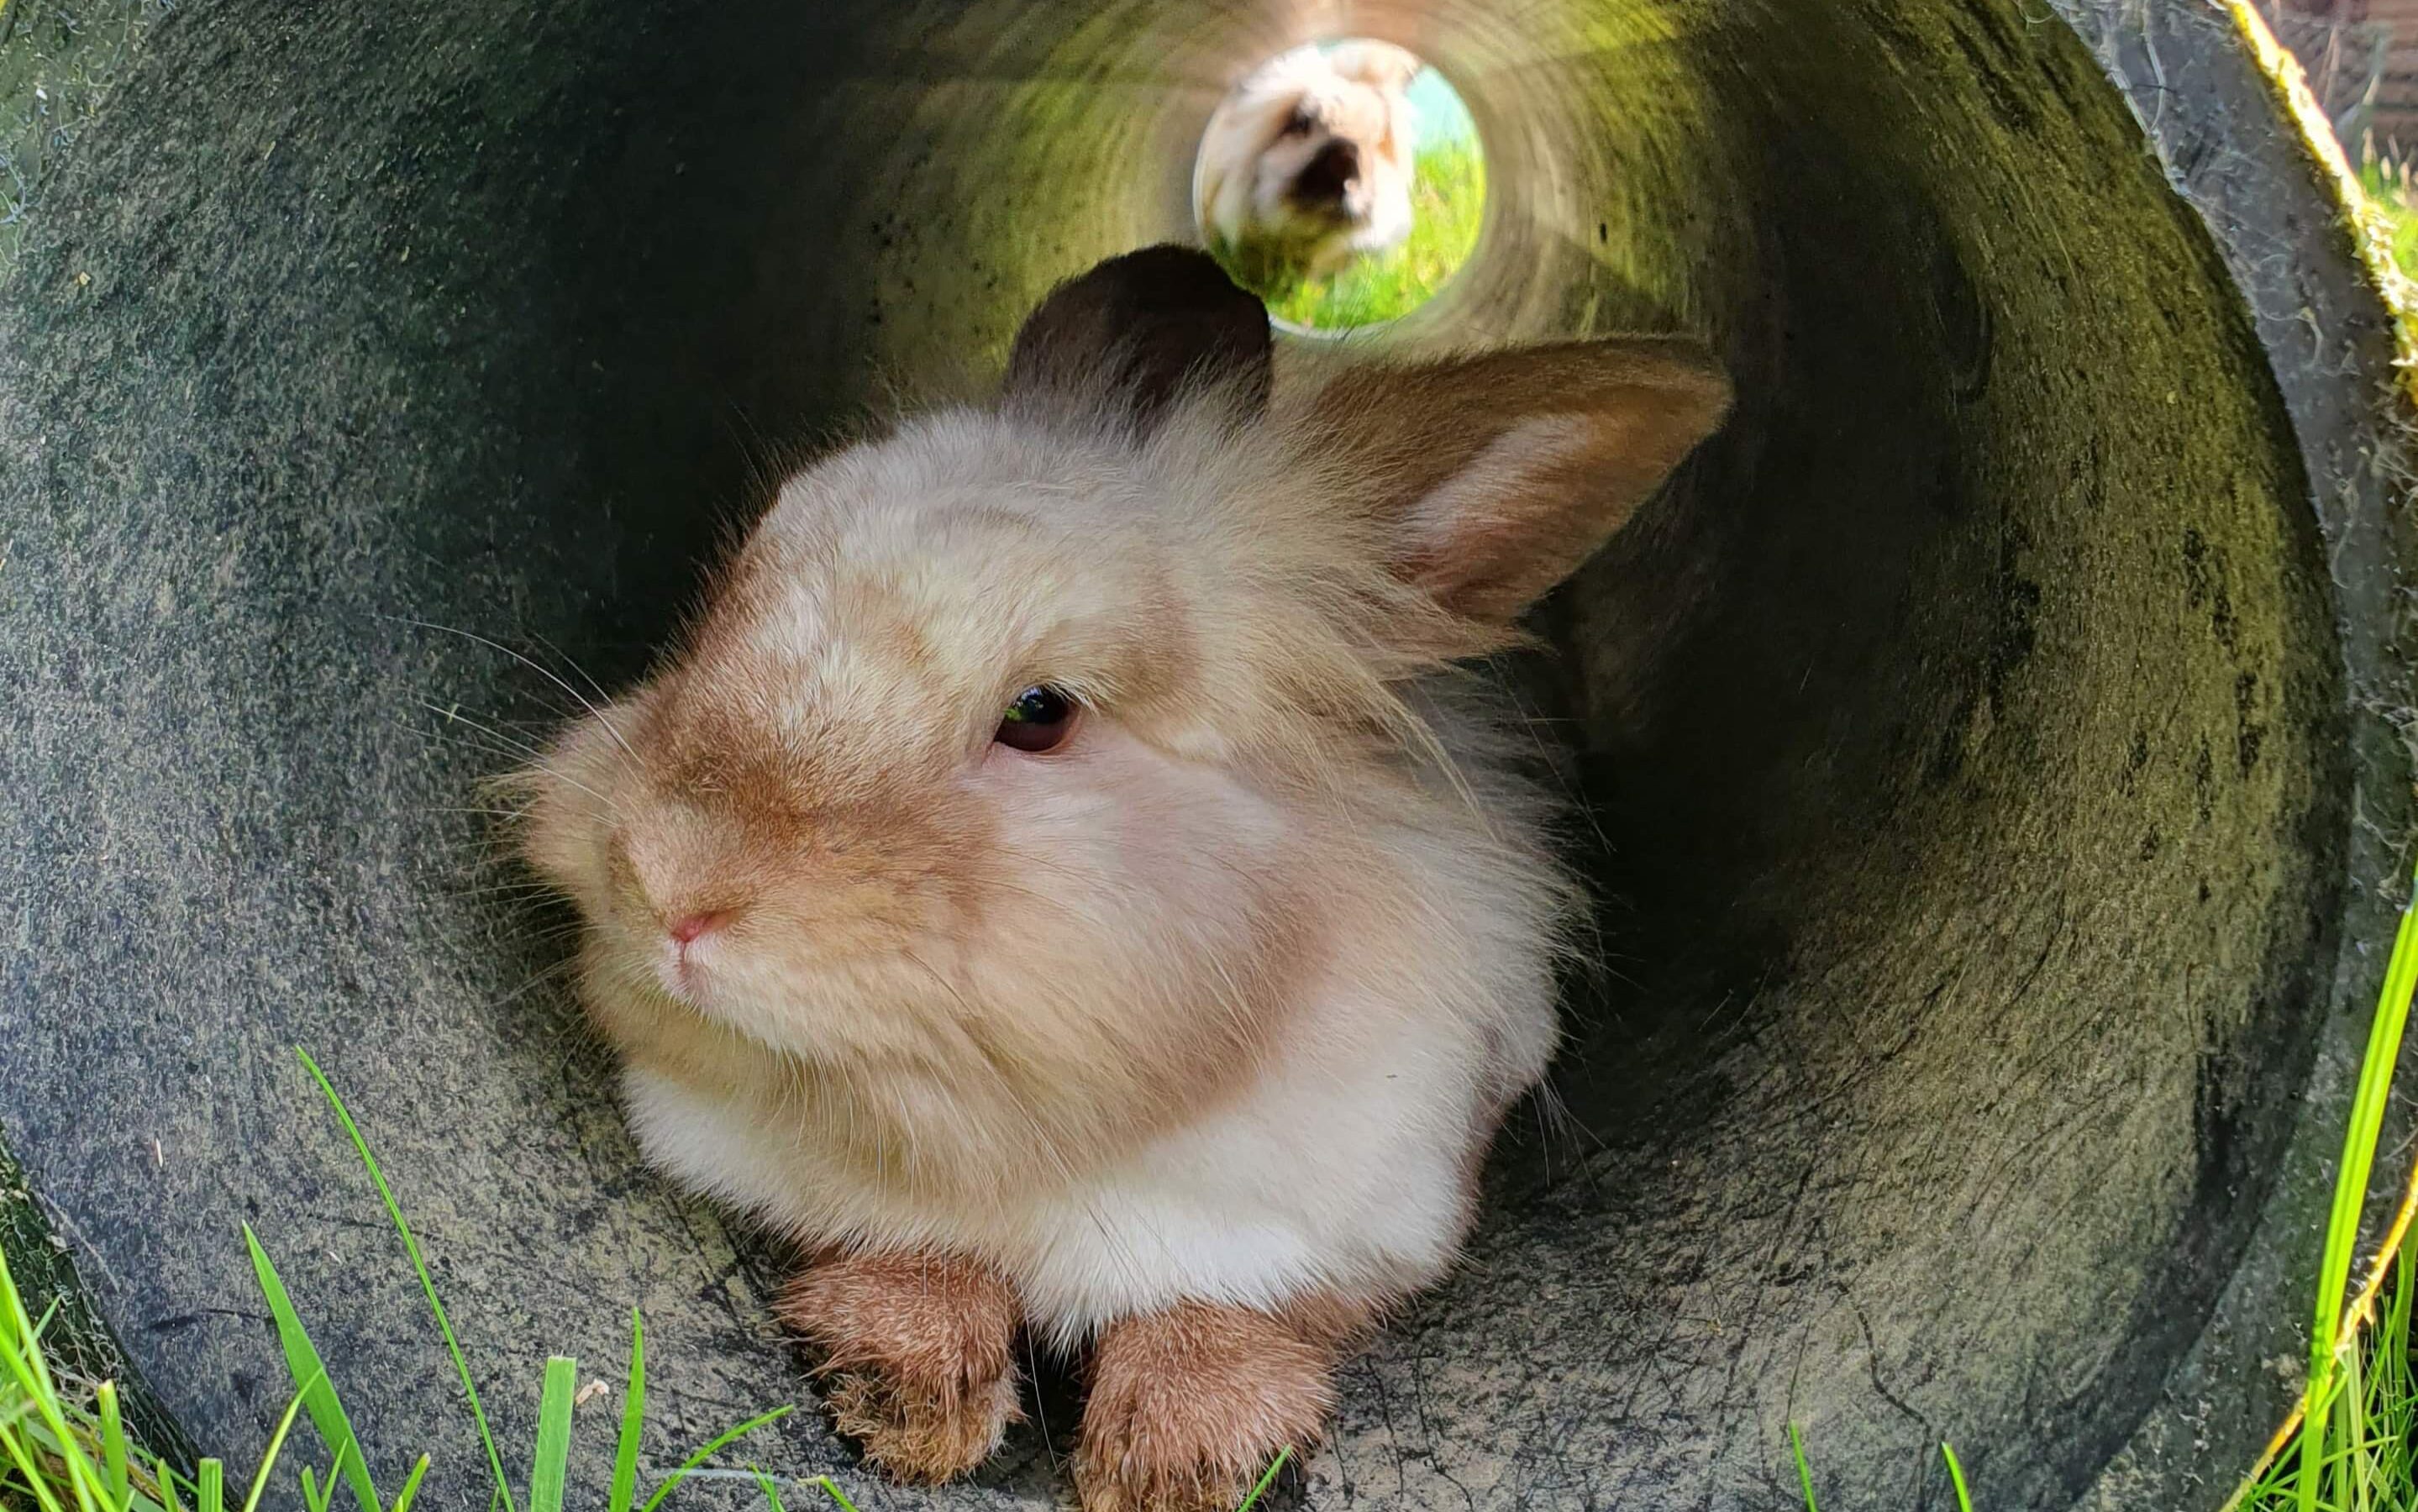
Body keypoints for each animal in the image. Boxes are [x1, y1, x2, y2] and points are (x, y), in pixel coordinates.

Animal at [511, 245, 1731, 1512]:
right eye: (729, 591)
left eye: (1040, 714)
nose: (668, 883)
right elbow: (903, 1252)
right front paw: (905, 1400)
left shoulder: (1364, 1206)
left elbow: (1237, 1315)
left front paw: (1180, 1462)